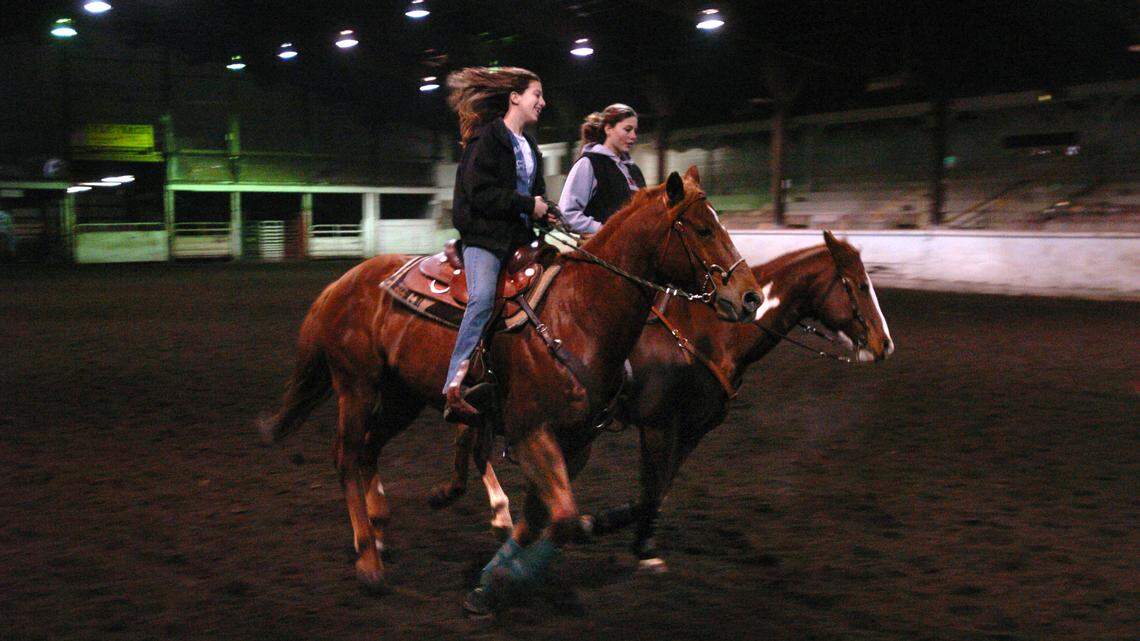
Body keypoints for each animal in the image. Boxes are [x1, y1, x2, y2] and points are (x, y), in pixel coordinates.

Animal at [259, 167, 763, 598]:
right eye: (703, 230)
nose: (751, 296)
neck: (578, 312)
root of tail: (342, 283)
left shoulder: (578, 439)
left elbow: (553, 515)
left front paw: (501, 567)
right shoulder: (530, 432)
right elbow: (562, 517)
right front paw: (508, 571)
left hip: (403, 396)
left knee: (368, 448)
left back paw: (383, 530)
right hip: (357, 386)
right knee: (347, 454)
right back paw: (368, 561)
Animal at [436, 230, 894, 572]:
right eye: (858, 285)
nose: (884, 344)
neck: (712, 335)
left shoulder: (693, 430)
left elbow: (659, 491)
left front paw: (635, 537)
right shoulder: (657, 424)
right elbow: (651, 488)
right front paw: (606, 526)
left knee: (470, 434)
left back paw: (478, 502)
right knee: (470, 434)